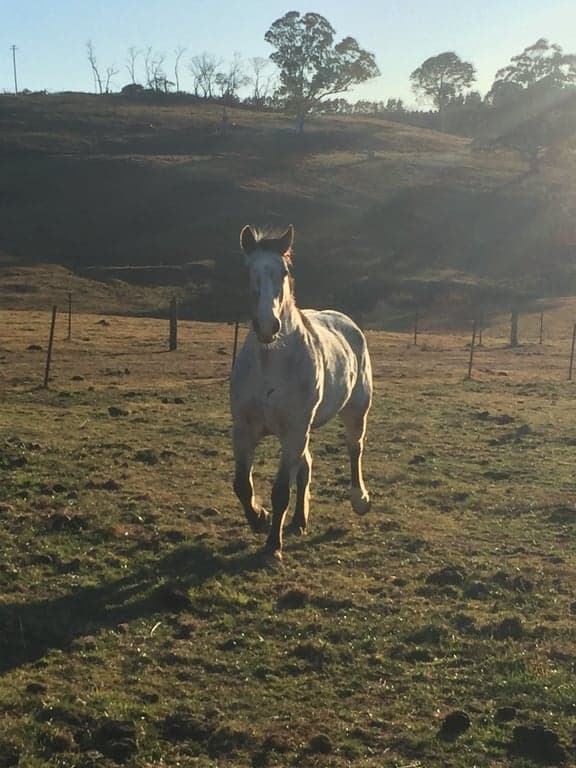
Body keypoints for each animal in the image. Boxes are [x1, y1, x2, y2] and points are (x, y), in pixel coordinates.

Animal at [230, 224, 372, 563]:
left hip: (355, 410)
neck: (271, 360)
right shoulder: (245, 428)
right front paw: (259, 518)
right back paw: (298, 520)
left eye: (283, 272)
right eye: (248, 271)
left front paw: (272, 546)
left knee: (354, 449)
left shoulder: (294, 430)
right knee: (305, 467)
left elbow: (281, 490)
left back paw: (359, 499)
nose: (267, 325)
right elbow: (242, 484)